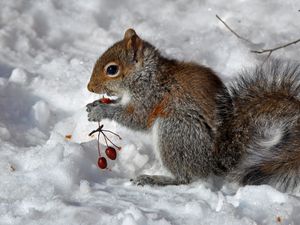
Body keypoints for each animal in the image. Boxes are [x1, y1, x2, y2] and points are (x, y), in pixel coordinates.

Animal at [86, 28, 300, 192]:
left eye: (112, 70)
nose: (90, 87)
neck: (147, 75)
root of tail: (213, 162)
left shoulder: (151, 96)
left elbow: (136, 118)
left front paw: (102, 111)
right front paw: (95, 105)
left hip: (174, 131)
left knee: (185, 178)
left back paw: (156, 179)